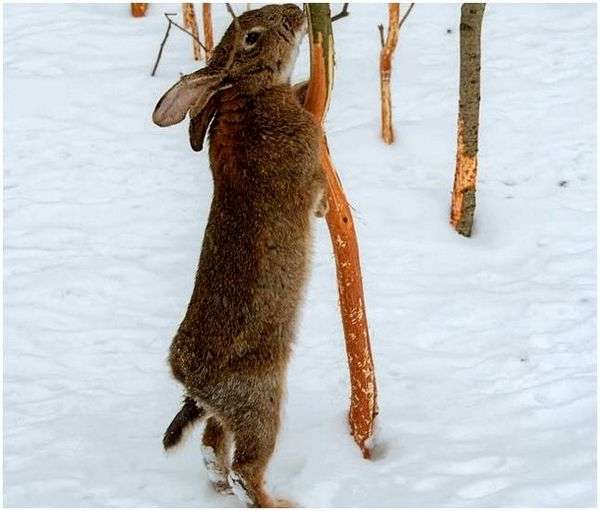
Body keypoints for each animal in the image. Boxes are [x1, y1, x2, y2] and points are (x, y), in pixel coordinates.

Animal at [152, 3, 326, 508]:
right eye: (251, 37)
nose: (296, 11)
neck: (247, 95)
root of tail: (191, 382)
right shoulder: (309, 162)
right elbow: (317, 190)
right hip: (260, 400)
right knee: (245, 467)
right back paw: (281, 502)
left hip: (229, 413)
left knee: (212, 445)